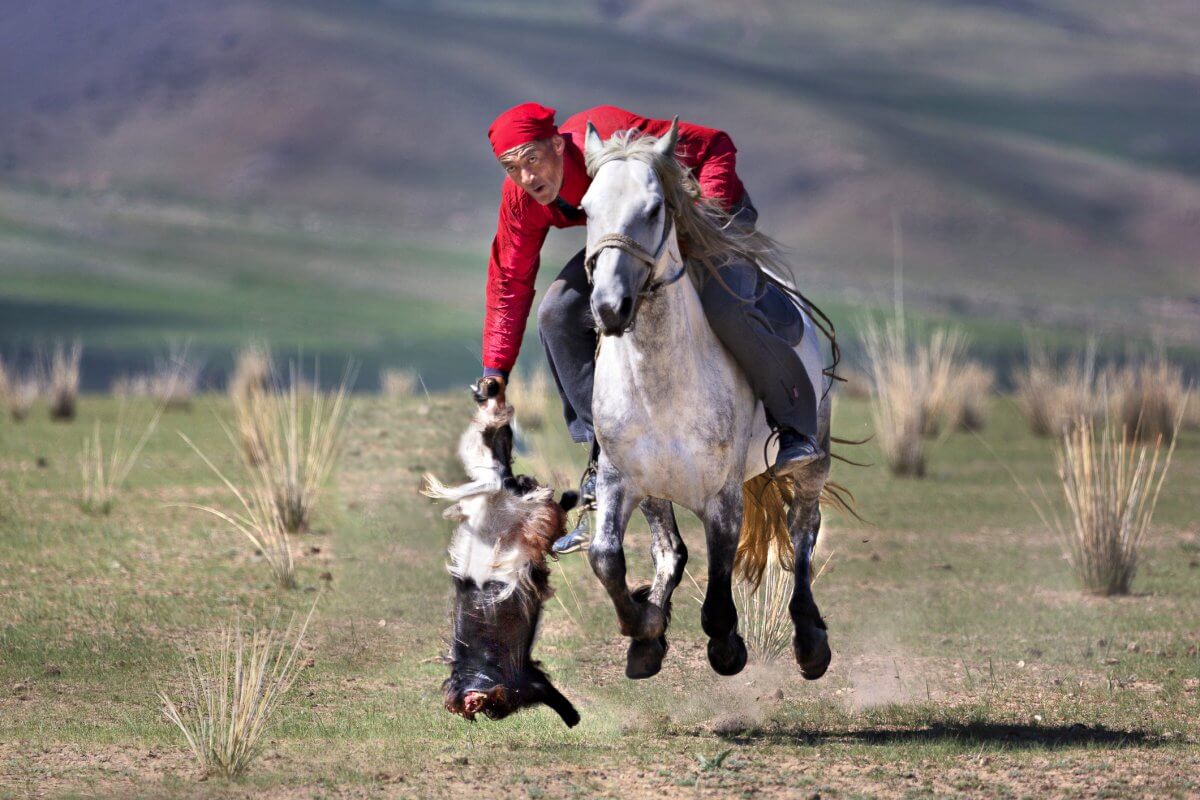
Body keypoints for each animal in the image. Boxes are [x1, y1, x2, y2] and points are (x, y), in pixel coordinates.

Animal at [424, 382, 580, 727]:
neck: (475, 671)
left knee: (537, 499)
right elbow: (549, 690)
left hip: (522, 506)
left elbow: (551, 695)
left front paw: (573, 718)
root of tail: (498, 487)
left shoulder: (522, 681)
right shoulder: (526, 678)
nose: (470, 703)